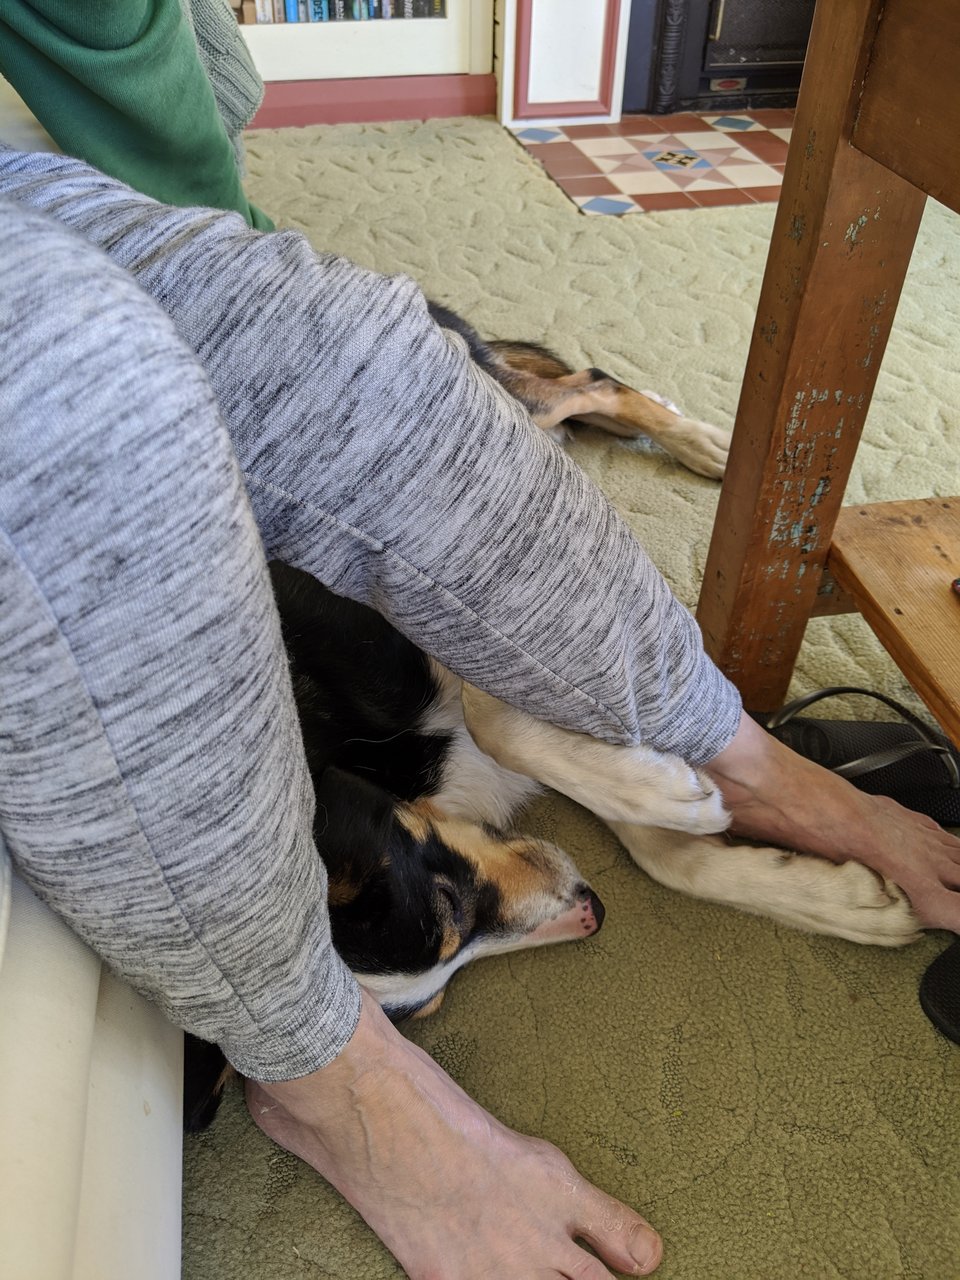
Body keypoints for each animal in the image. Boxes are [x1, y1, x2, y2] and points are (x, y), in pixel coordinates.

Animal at [183, 310, 919, 1128]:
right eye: (432, 1002)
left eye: (446, 902)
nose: (591, 911)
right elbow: (664, 850)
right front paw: (836, 894)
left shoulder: (412, 586)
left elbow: (500, 712)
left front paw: (682, 799)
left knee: (584, 382)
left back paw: (703, 438)